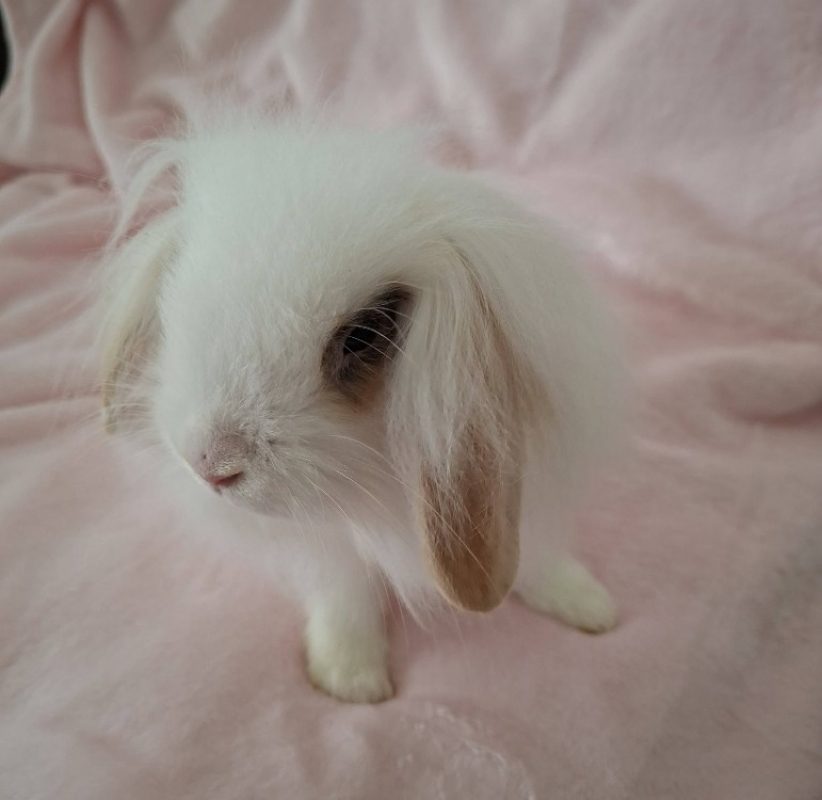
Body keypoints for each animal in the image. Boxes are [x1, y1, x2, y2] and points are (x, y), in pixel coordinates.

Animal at [99, 110, 623, 703]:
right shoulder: (323, 542)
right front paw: (351, 679)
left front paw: (589, 605)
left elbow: (534, 555)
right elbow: (343, 593)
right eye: (176, 300)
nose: (209, 465)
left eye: (364, 335)